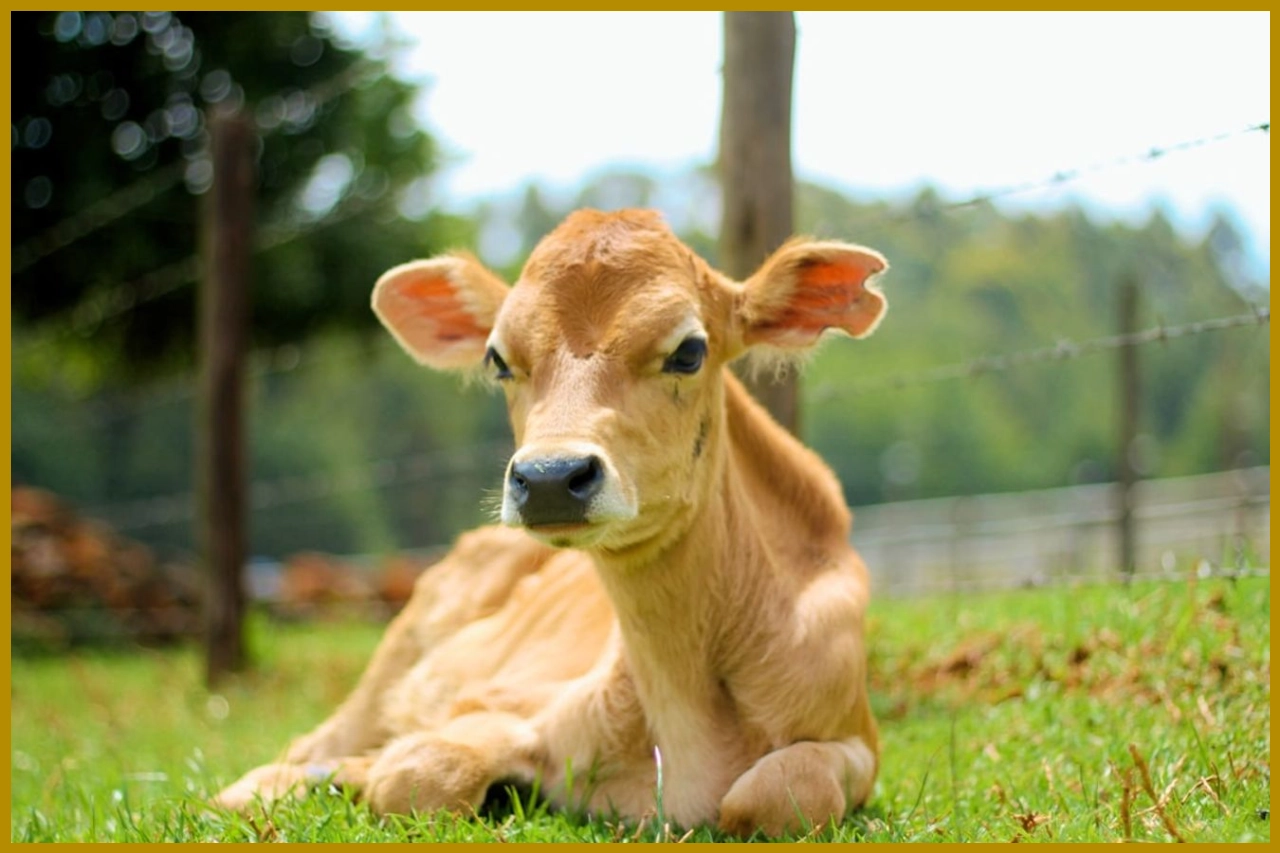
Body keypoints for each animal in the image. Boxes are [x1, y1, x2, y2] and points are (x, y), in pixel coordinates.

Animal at [213, 208, 889, 838]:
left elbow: (784, 790)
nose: (548, 477)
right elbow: (424, 772)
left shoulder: (857, 741)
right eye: (497, 358)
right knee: (290, 758)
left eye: (689, 351)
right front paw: (362, 775)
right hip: (387, 668)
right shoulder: (498, 701)